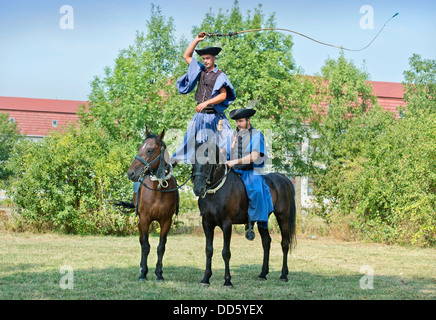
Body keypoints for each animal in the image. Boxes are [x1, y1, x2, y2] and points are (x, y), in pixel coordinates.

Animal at [127, 129, 178, 282]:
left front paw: (159, 273)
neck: (158, 191)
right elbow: (145, 245)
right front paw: (143, 273)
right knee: (141, 241)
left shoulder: (166, 221)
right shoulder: (144, 219)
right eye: (139, 148)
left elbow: (161, 247)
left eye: (149, 150)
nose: (130, 173)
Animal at [193, 141, 298, 286]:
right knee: (266, 242)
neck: (216, 191)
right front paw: (206, 278)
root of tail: (283, 177)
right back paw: (263, 273)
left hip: (283, 217)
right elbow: (209, 250)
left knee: (284, 243)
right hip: (262, 219)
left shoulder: (227, 224)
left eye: (208, 161)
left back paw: (283, 274)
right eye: (193, 160)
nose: (198, 189)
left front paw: (227, 281)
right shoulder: (207, 223)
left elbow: (226, 252)